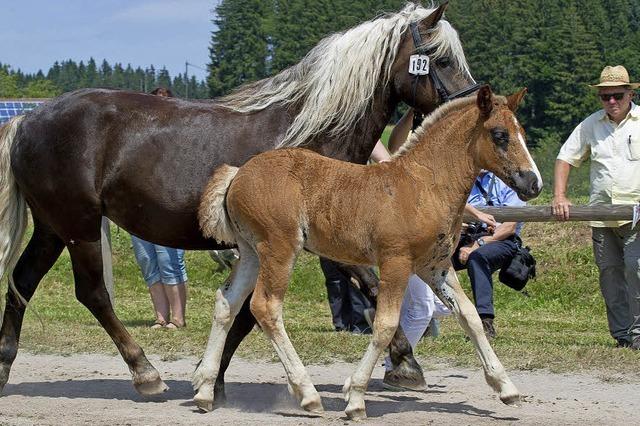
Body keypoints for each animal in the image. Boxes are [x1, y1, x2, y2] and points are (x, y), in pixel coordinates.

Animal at [0, 2, 480, 402]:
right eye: (441, 60)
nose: (475, 106)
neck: (309, 136)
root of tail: (28, 118)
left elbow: (248, 311)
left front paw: (210, 378)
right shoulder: (308, 242)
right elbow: (360, 290)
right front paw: (405, 361)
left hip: (53, 228)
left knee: (22, 281)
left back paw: (5, 366)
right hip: (78, 226)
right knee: (93, 293)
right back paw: (145, 373)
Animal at [198, 85, 544, 418]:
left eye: (523, 132)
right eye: (499, 134)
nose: (534, 183)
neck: (424, 186)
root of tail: (237, 175)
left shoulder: (435, 267)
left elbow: (469, 316)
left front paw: (506, 387)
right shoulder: (396, 262)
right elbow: (385, 324)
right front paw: (355, 398)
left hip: (250, 252)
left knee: (227, 302)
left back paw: (204, 391)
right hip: (279, 248)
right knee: (266, 307)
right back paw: (307, 394)